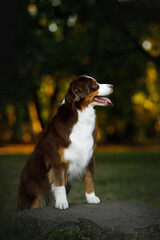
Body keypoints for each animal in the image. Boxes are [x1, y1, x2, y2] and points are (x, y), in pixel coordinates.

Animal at [17, 75, 112, 210]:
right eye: (94, 85)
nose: (112, 86)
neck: (80, 115)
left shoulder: (88, 156)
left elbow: (89, 179)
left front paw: (92, 198)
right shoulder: (57, 161)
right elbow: (59, 184)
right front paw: (62, 203)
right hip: (31, 197)